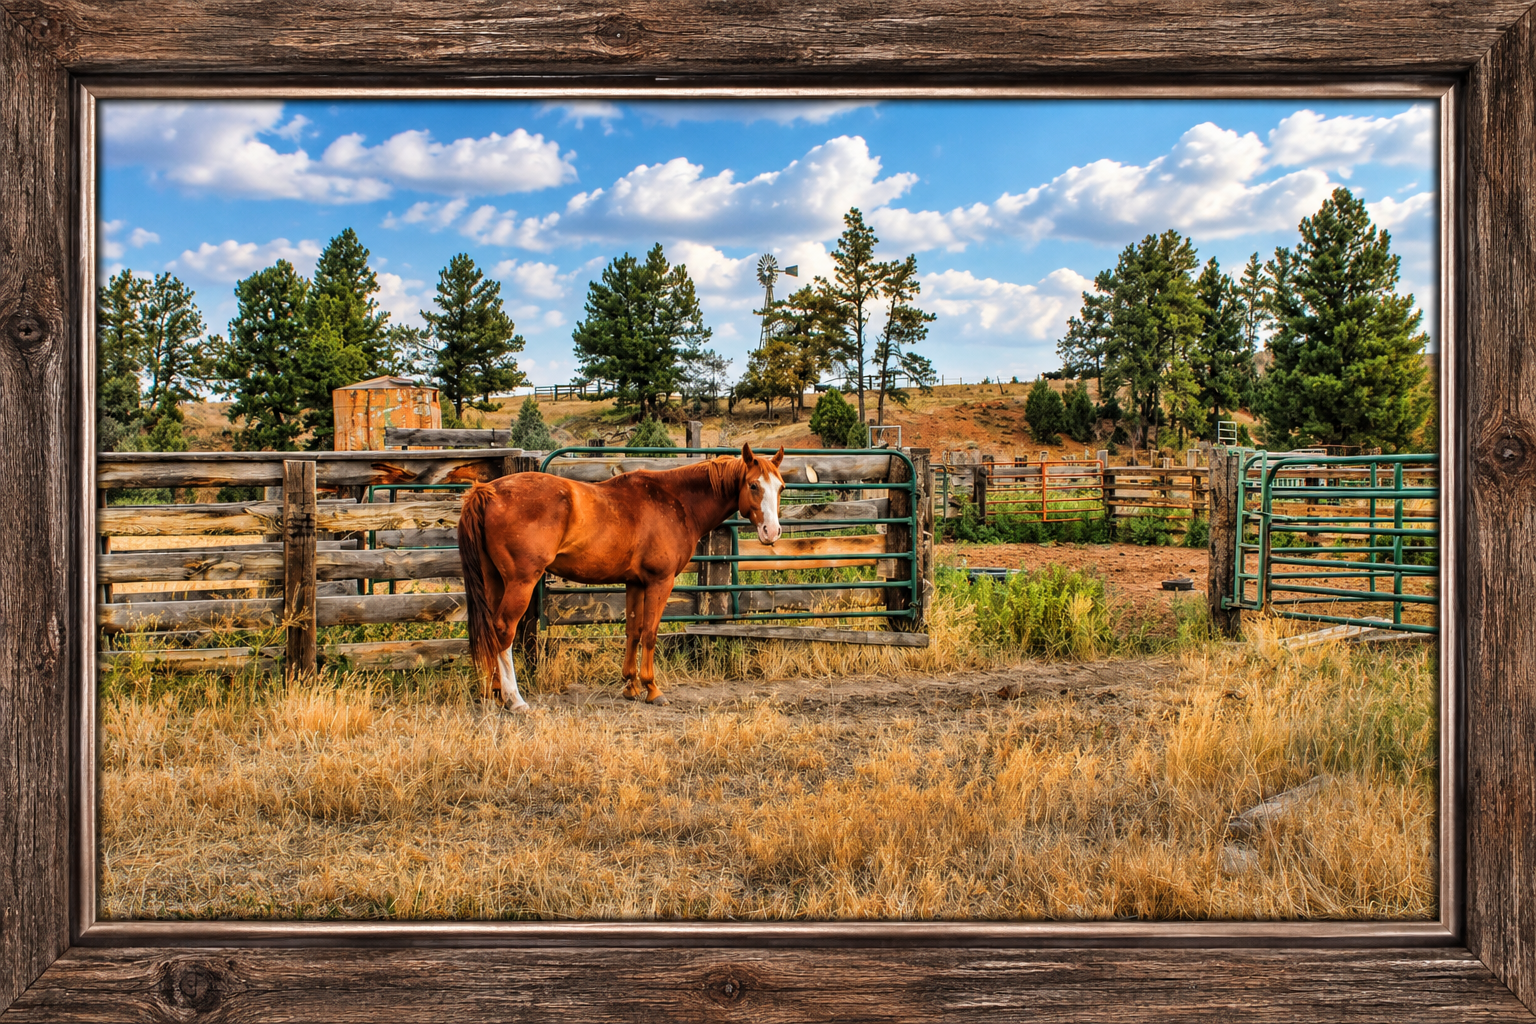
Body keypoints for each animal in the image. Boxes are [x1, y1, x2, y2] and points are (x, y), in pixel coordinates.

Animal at [457, 443, 786, 709]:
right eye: (754, 485)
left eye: (781, 487)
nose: (772, 532)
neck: (677, 501)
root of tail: (487, 491)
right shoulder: (659, 581)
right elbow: (650, 634)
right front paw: (652, 689)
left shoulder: (635, 583)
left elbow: (633, 631)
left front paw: (631, 686)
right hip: (521, 582)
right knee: (503, 630)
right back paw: (514, 699)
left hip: (494, 580)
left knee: (491, 629)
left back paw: (494, 690)